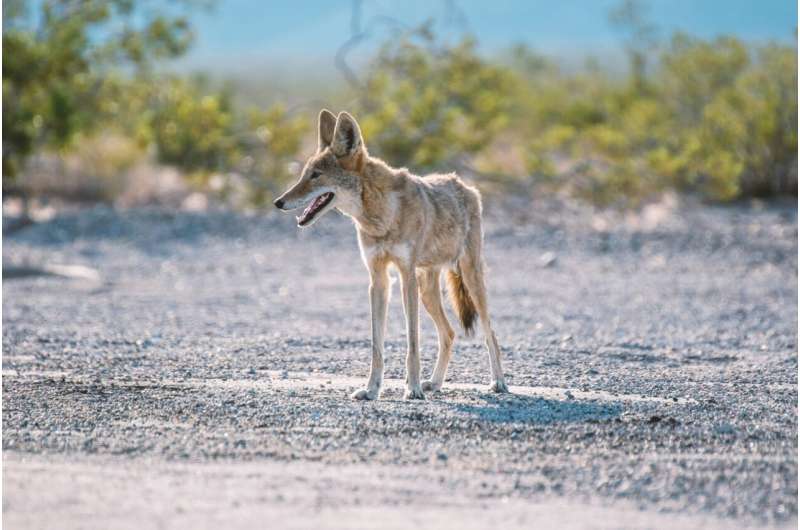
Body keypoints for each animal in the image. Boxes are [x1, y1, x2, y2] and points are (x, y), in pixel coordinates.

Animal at [274, 109, 509, 400]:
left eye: (316, 175)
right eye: (303, 174)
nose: (278, 202)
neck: (381, 217)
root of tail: (466, 185)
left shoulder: (406, 276)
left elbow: (412, 343)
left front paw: (413, 388)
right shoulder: (378, 279)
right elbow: (377, 346)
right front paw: (371, 389)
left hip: (469, 279)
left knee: (490, 333)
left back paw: (498, 382)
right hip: (428, 291)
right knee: (450, 333)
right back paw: (436, 383)